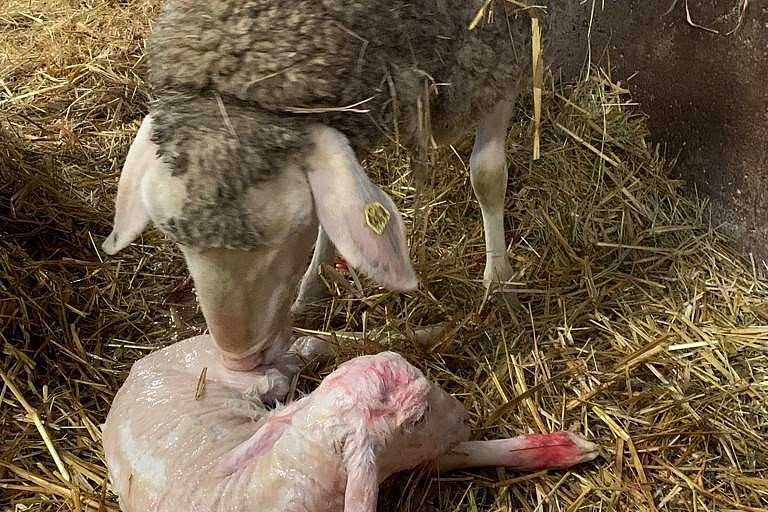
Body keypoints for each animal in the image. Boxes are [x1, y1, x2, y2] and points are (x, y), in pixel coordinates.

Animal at [103, 336, 600, 512]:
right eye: (417, 417)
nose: (463, 416)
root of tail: (135, 370)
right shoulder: (396, 457)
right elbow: (446, 454)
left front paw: (564, 448)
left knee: (299, 349)